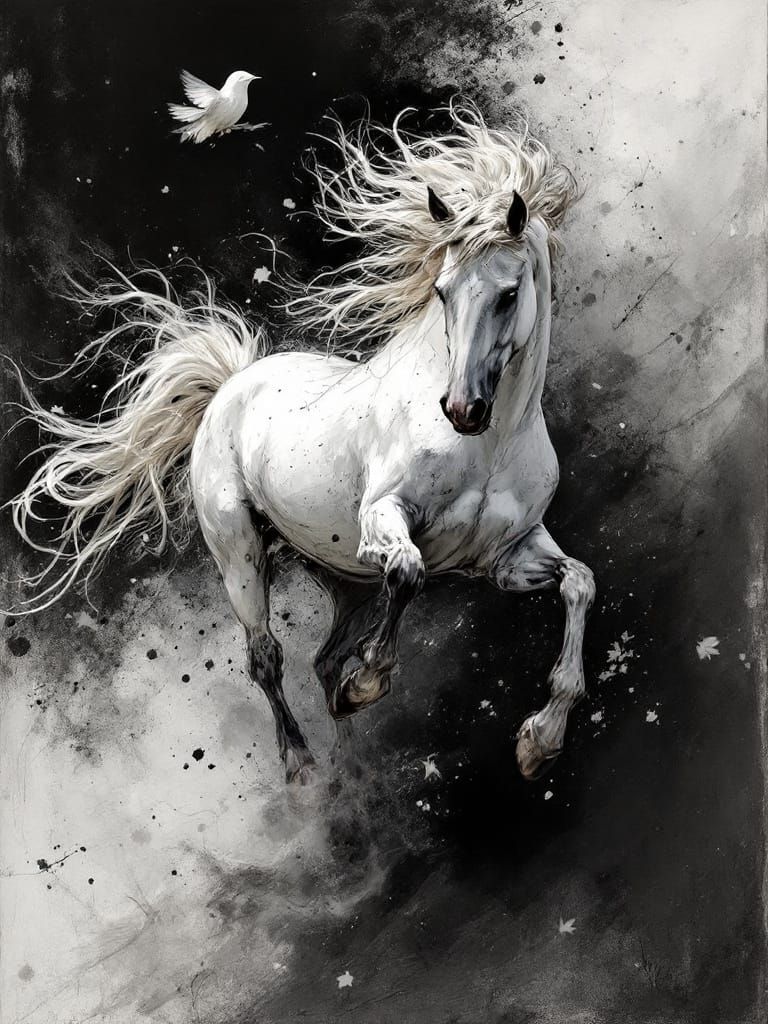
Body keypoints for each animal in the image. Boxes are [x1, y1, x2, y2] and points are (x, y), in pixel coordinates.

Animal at [7, 104, 595, 785]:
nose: (461, 409)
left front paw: (540, 740)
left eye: (508, 294)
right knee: (267, 655)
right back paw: (302, 764)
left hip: (346, 576)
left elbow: (580, 583)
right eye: (442, 291)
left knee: (324, 657)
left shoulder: (506, 556)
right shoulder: (384, 520)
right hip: (240, 554)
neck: (490, 448)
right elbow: (410, 571)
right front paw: (369, 684)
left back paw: (349, 751)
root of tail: (230, 385)